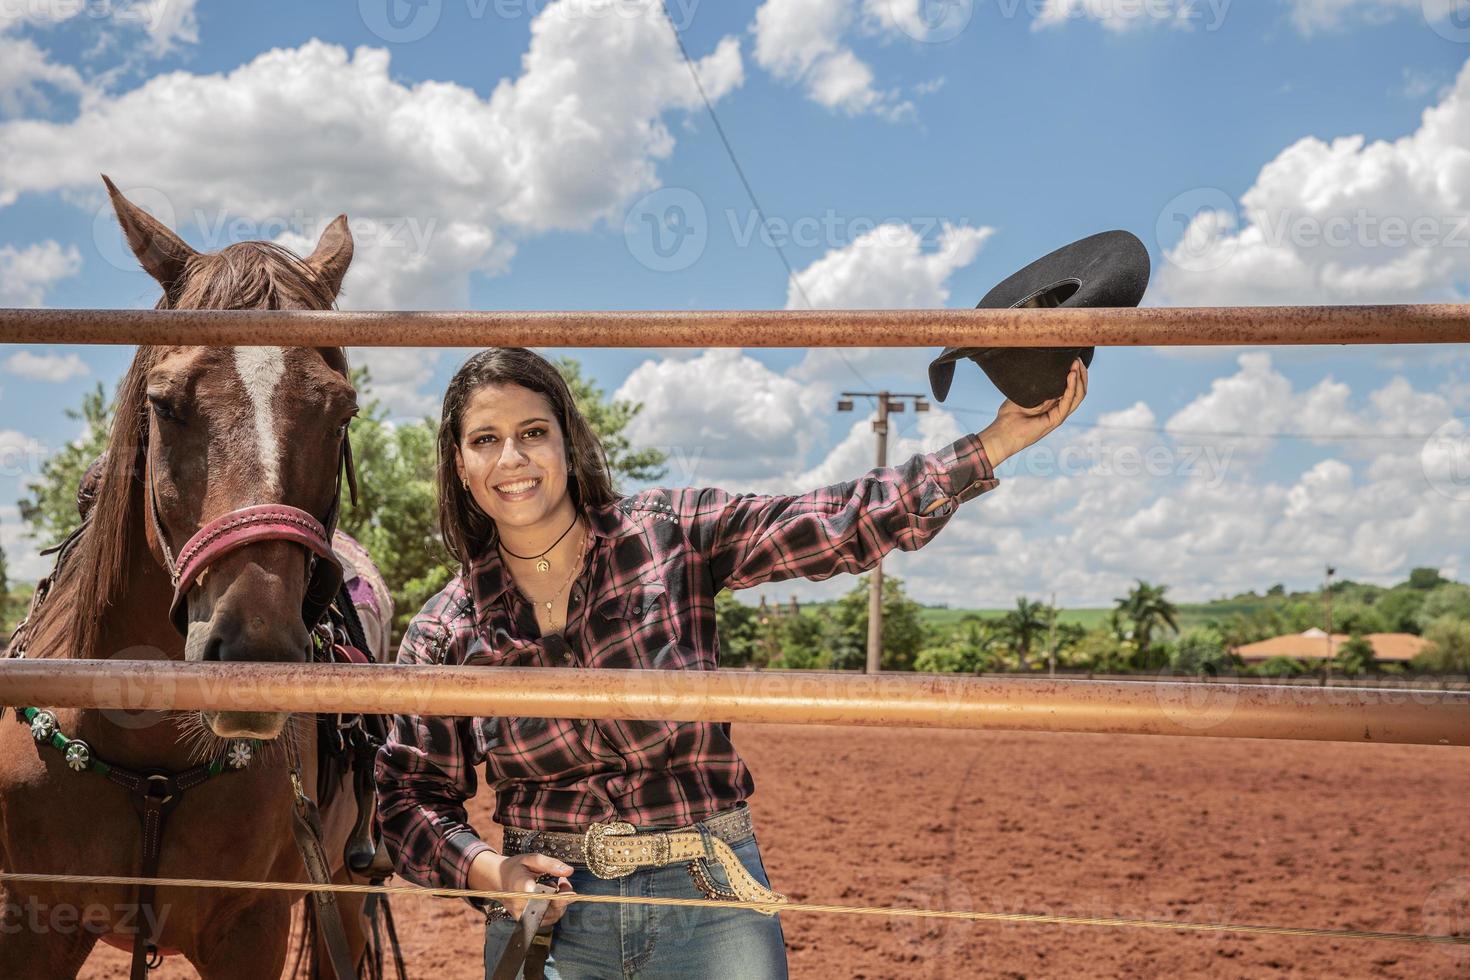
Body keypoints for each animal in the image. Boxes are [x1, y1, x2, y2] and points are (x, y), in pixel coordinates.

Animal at [0, 178, 396, 980]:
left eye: (342, 412)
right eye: (165, 403)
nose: (255, 655)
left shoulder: (248, 929)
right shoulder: (29, 924)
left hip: (343, 889)